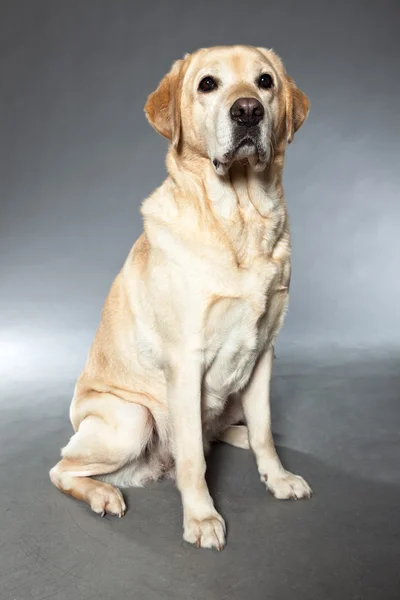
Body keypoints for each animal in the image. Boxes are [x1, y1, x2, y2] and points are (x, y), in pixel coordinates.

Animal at [49, 44, 312, 552]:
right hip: (131, 419)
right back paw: (103, 494)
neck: (239, 221)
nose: (247, 111)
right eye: (208, 84)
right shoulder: (186, 361)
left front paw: (277, 477)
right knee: (61, 467)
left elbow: (265, 432)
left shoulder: (264, 353)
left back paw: (237, 435)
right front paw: (202, 518)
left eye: (265, 82)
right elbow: (192, 457)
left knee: (228, 429)